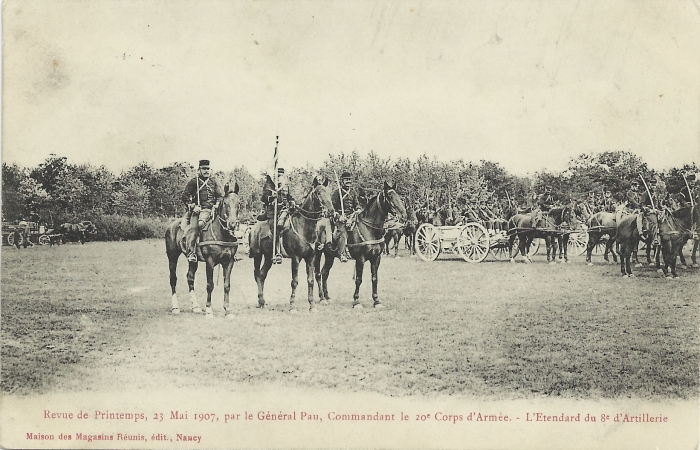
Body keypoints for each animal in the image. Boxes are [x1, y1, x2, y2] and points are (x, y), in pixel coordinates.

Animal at [164, 182, 241, 316]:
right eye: (225, 203)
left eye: (239, 203)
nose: (232, 224)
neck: (222, 234)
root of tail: (172, 225)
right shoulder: (210, 261)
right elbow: (210, 285)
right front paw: (209, 310)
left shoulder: (229, 261)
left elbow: (227, 285)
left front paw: (227, 310)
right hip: (172, 256)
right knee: (173, 279)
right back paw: (175, 307)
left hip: (192, 260)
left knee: (190, 277)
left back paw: (195, 306)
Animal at [247, 176, 334, 312]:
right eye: (319, 193)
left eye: (329, 193)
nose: (331, 211)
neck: (303, 226)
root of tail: (253, 228)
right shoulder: (296, 258)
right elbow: (295, 281)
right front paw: (292, 305)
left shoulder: (310, 257)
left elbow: (310, 281)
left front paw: (312, 305)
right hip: (257, 255)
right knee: (257, 275)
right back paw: (260, 300)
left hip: (268, 257)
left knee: (261, 275)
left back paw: (262, 302)